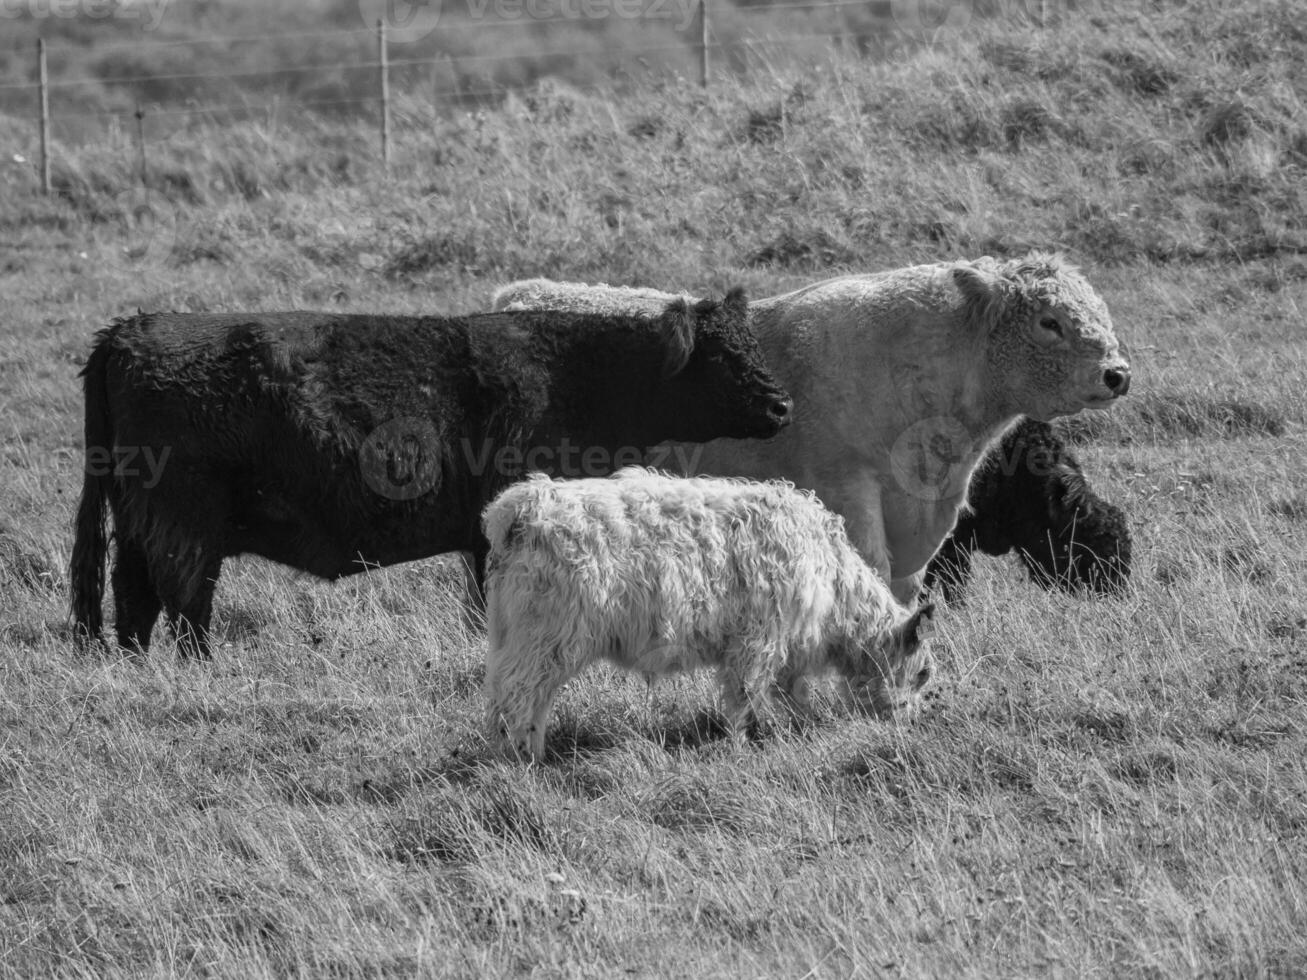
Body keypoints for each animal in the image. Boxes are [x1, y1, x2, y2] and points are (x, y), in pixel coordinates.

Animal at [71, 291, 789, 661]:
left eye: (752, 343)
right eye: (723, 355)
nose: (782, 404)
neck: (576, 374)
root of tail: (129, 330)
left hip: (140, 520)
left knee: (133, 596)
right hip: (183, 522)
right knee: (182, 601)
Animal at [486, 470, 935, 768]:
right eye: (923, 674)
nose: (911, 725)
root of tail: (524, 503)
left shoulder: (784, 650)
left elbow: (793, 695)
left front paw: (800, 729)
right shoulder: (757, 640)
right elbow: (746, 697)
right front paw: (746, 746)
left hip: (524, 639)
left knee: (530, 698)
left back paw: (533, 755)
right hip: (547, 637)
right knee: (516, 695)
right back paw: (518, 762)